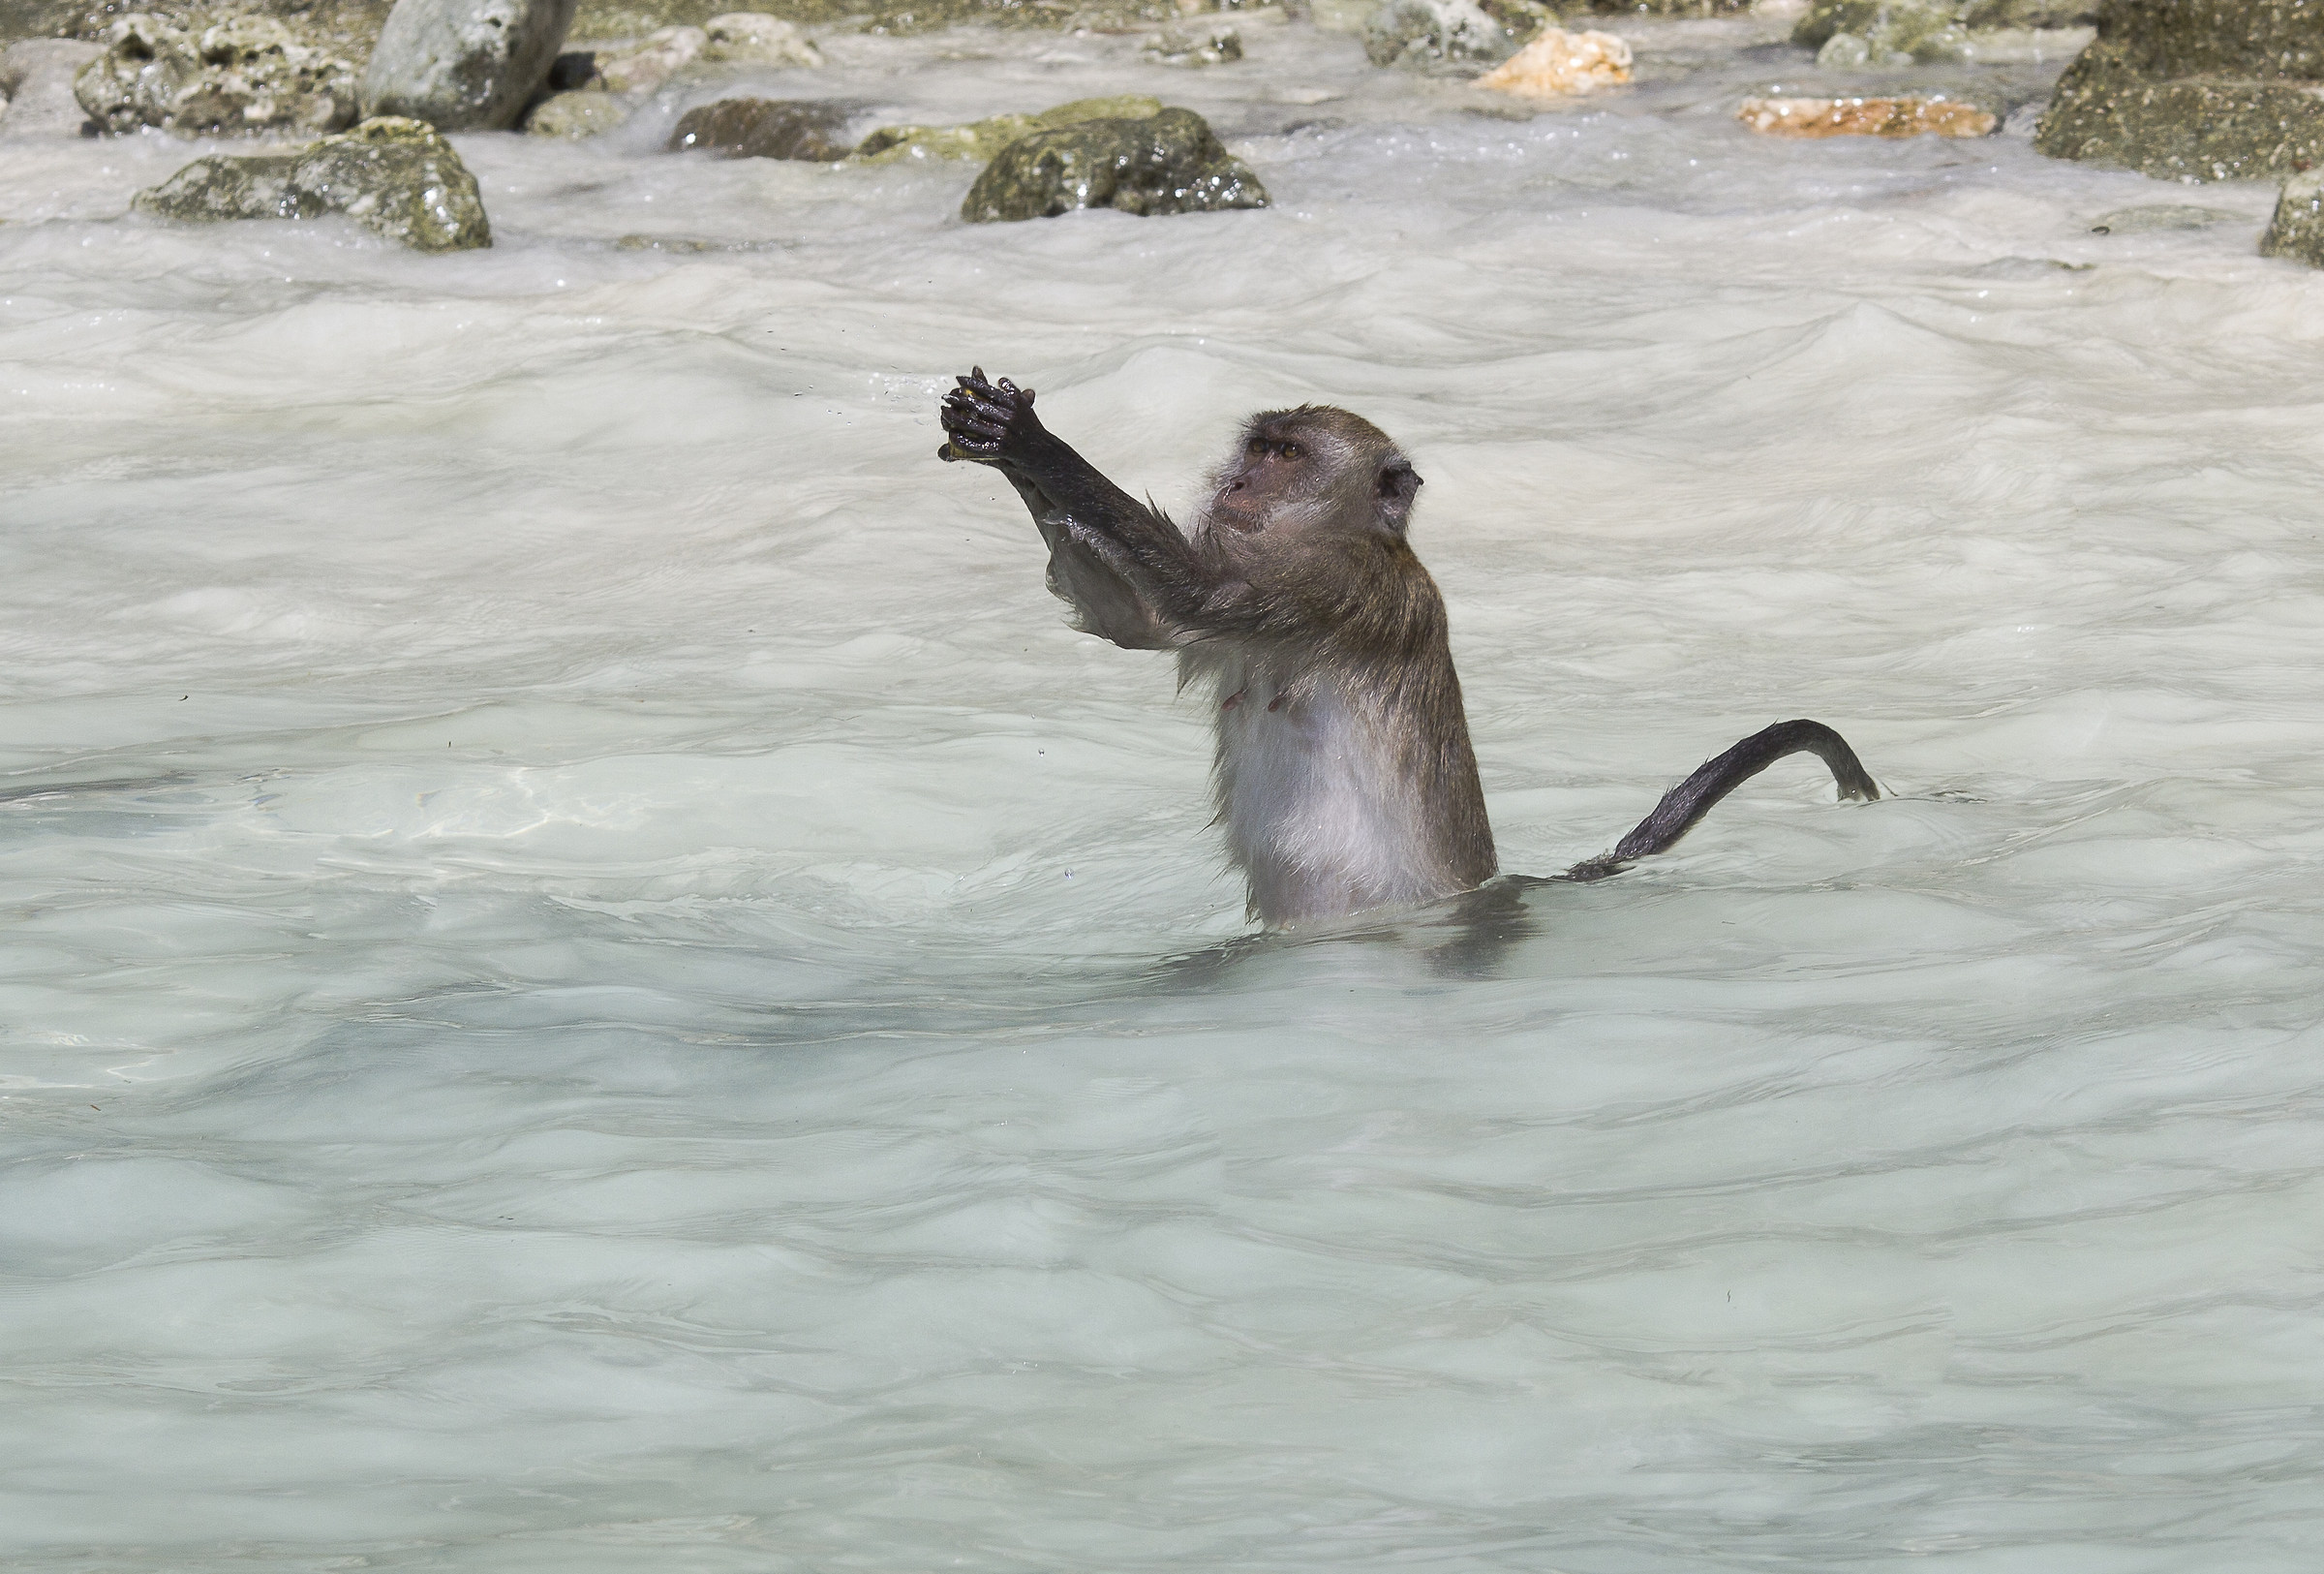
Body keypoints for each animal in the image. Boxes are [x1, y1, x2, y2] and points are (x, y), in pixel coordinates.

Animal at [937, 368, 1879, 928]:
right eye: (1256, 446)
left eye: (1286, 454)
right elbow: (1134, 618)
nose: (1237, 481)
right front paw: (1003, 450)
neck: (1352, 535)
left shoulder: (1337, 583)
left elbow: (1194, 594)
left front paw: (1033, 442)